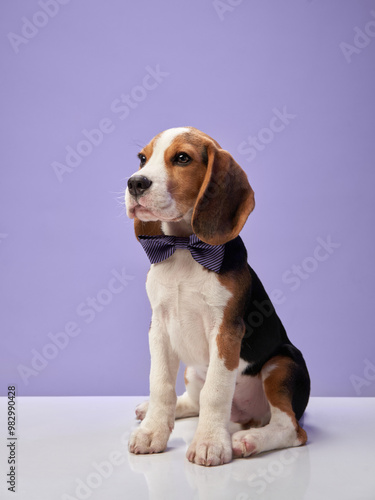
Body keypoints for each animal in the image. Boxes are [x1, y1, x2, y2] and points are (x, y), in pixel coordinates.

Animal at [125, 127, 310, 466]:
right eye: (143, 158)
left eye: (182, 158)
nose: (135, 182)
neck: (184, 247)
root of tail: (247, 418)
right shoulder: (159, 328)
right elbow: (160, 384)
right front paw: (153, 431)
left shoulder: (225, 332)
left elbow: (216, 390)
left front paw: (210, 442)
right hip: (192, 371)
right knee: (192, 399)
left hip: (282, 365)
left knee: (291, 428)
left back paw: (249, 439)